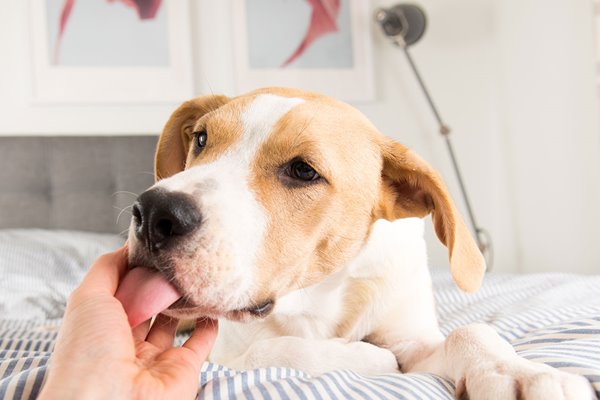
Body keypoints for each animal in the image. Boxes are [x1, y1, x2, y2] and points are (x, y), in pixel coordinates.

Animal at [119, 88, 592, 400]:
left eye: (303, 171)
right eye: (201, 139)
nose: (154, 213)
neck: (321, 291)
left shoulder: (414, 340)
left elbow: (470, 333)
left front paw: (517, 373)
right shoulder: (223, 350)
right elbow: (273, 349)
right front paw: (367, 358)